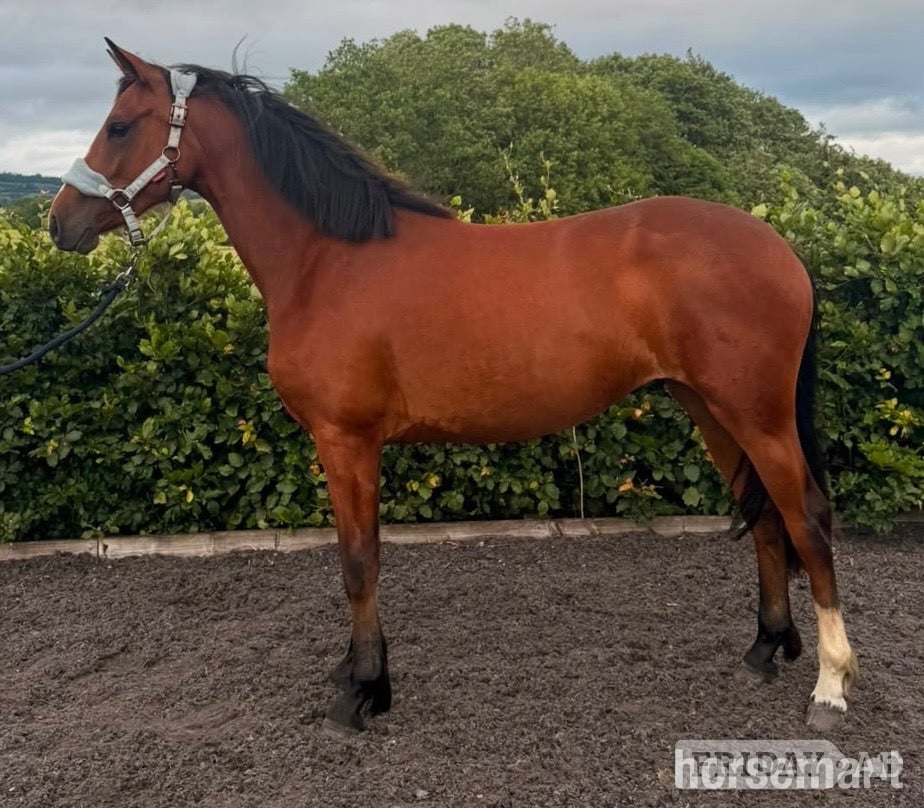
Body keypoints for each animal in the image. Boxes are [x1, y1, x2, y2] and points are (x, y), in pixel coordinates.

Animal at [48, 40, 857, 735]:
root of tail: (780, 247)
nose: (61, 223)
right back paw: (764, 650)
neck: (329, 261)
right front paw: (355, 673)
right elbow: (360, 554)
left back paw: (831, 685)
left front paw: (364, 692)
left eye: (120, 125)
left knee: (808, 518)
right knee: (765, 519)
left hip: (756, 414)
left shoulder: (346, 441)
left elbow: (358, 561)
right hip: (711, 408)